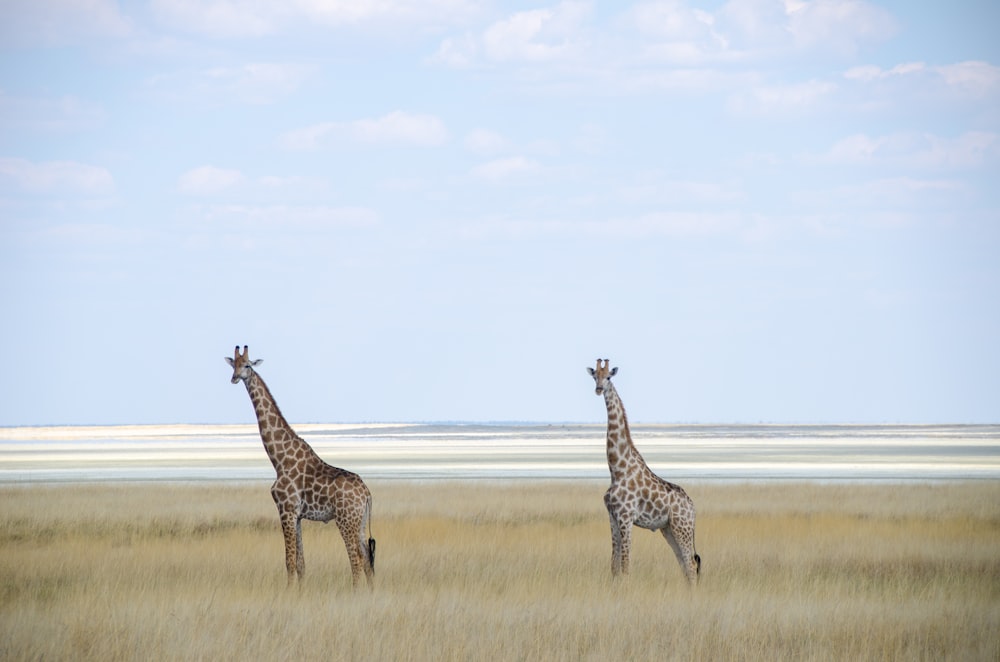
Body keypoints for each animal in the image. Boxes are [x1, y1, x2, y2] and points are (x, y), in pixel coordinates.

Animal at [227, 348, 376, 592]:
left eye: (247, 365)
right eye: (234, 365)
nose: (235, 378)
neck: (278, 459)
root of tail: (366, 493)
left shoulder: (286, 510)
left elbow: (289, 561)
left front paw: (288, 593)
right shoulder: (296, 516)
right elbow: (301, 563)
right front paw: (299, 591)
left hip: (345, 519)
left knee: (356, 558)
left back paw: (355, 593)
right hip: (360, 521)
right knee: (367, 560)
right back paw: (371, 593)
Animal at [584, 364, 700, 588]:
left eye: (609, 377)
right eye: (595, 376)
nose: (599, 389)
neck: (617, 469)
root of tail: (693, 508)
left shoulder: (626, 516)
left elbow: (626, 564)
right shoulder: (612, 516)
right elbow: (614, 565)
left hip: (682, 527)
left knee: (690, 563)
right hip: (668, 529)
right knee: (683, 562)